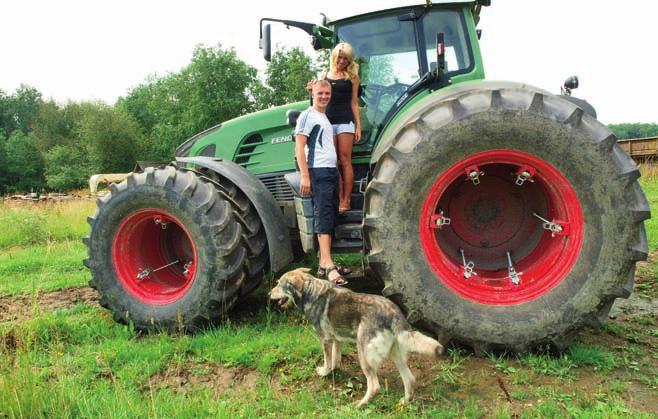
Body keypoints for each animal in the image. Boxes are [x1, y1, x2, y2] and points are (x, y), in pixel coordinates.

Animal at [270, 270, 444, 406]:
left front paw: (325, 372)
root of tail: (394, 313)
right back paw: (404, 401)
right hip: (395, 355)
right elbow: (335, 358)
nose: (268, 294)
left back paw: (361, 404)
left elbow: (327, 360)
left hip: (363, 354)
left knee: (375, 386)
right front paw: (333, 370)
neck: (310, 290)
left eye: (279, 285)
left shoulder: (325, 340)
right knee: (409, 378)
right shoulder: (336, 339)